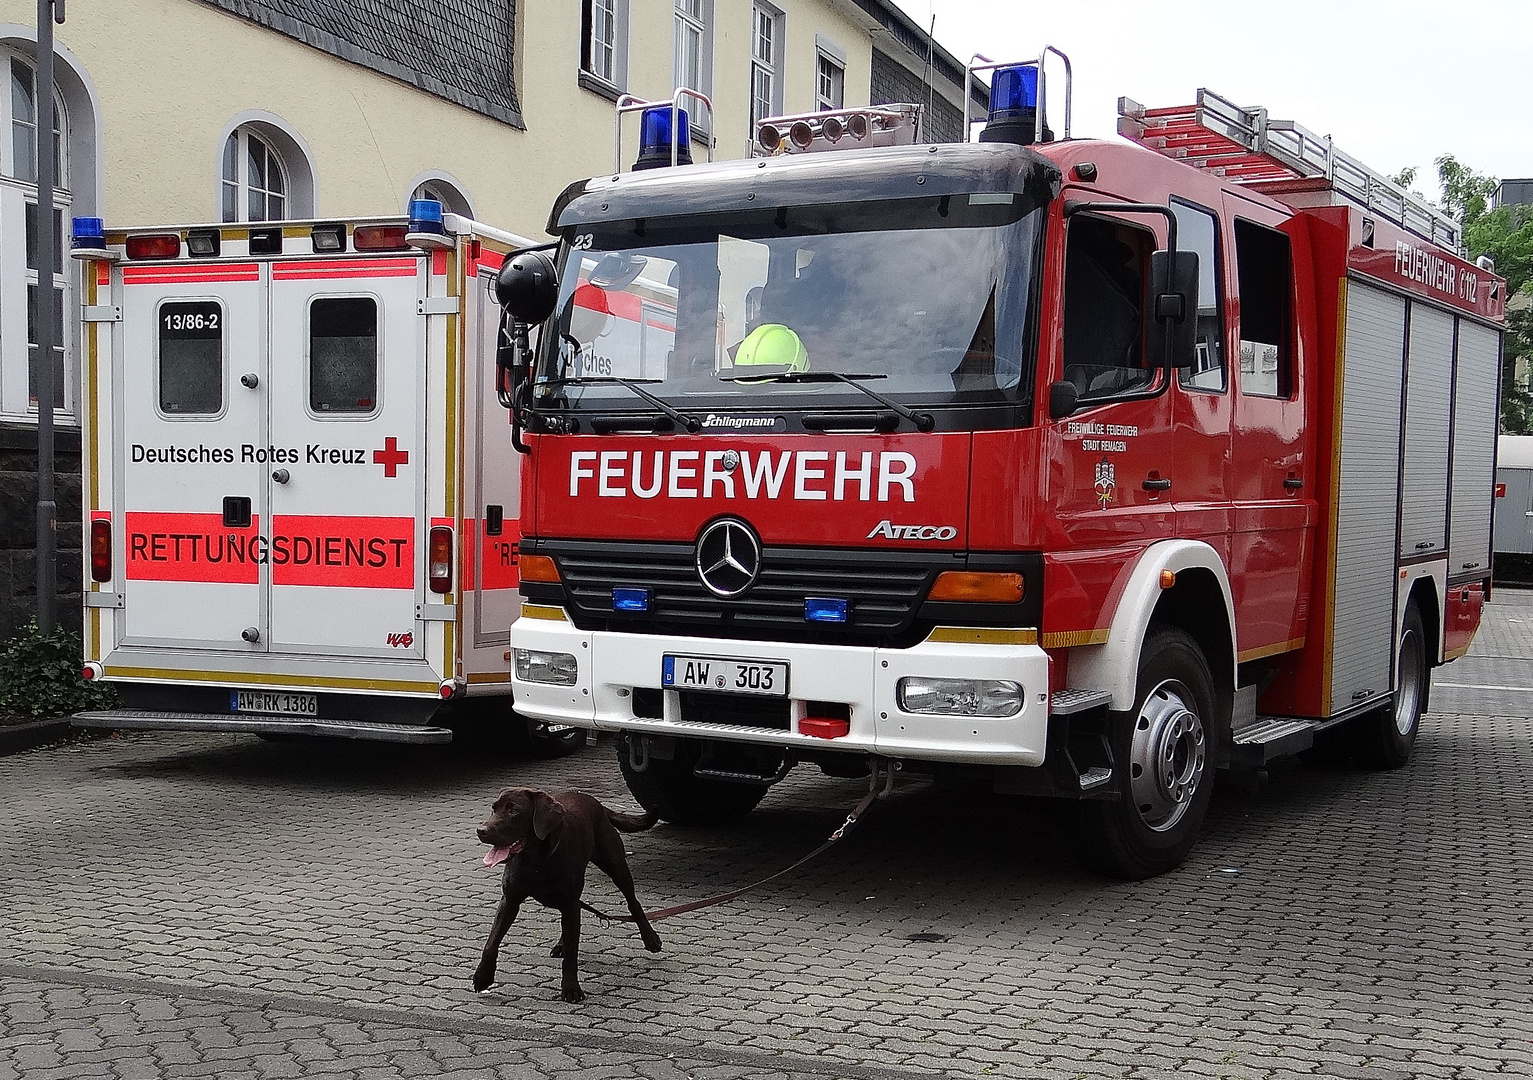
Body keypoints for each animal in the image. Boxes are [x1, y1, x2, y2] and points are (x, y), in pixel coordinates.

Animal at [466, 784, 659, 1004]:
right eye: (494, 809)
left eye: (514, 810)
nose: (481, 831)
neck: (534, 862)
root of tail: (598, 804)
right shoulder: (510, 900)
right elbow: (491, 942)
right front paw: (482, 977)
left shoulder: (569, 903)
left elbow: (572, 955)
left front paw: (571, 988)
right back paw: (561, 944)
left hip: (615, 864)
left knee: (632, 901)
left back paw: (650, 938)